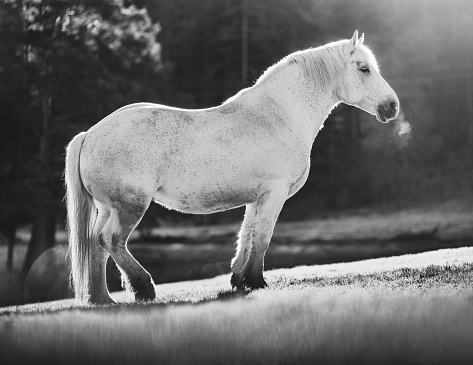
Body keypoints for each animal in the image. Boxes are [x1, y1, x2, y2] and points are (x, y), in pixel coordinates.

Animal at [64, 31, 398, 302]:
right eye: (364, 68)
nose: (392, 106)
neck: (279, 115)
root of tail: (90, 134)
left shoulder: (257, 198)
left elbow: (246, 237)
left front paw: (239, 280)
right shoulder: (274, 194)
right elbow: (262, 238)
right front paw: (257, 281)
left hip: (108, 208)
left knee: (96, 246)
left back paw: (103, 299)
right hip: (130, 206)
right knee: (111, 240)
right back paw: (143, 288)